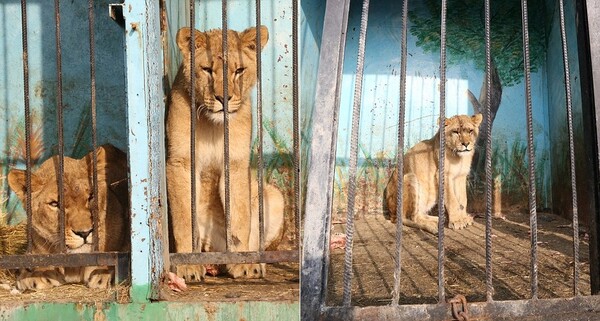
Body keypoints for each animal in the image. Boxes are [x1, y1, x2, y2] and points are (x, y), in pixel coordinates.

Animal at [165, 25, 284, 280]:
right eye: (207, 70)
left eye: (239, 70)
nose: (223, 99)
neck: (213, 125)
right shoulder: (181, 162)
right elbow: (184, 217)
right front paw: (187, 264)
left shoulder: (236, 162)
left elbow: (239, 215)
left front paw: (243, 262)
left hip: (273, 195)